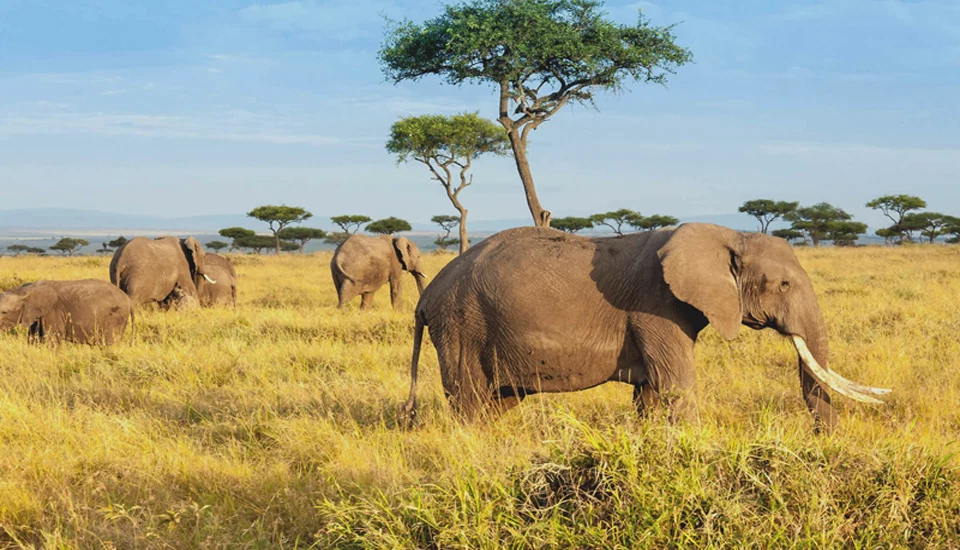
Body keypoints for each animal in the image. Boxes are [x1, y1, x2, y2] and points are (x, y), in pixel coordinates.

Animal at [0, 279, 134, 345]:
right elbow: (33, 337)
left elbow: (52, 338)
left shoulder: (53, 311)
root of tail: (128, 300)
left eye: (4, 312)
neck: (25, 290)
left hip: (115, 317)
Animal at [402, 224, 889, 431]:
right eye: (784, 284)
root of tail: (425, 298)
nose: (825, 443)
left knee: (498, 402)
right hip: (461, 324)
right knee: (470, 400)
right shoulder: (655, 306)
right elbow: (676, 385)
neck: (728, 235)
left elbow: (652, 393)